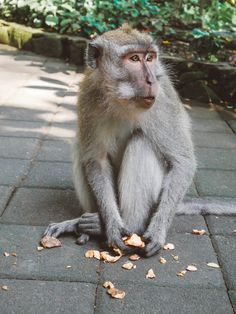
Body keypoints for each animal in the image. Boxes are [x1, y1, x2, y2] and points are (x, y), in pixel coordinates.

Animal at [43, 23, 235, 255]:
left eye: (150, 58)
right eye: (134, 59)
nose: (151, 80)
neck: (123, 99)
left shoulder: (162, 101)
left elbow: (183, 162)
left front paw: (158, 230)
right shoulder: (88, 94)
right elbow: (96, 160)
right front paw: (112, 225)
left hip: (154, 201)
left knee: (141, 142)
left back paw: (126, 226)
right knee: (80, 147)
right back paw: (89, 226)